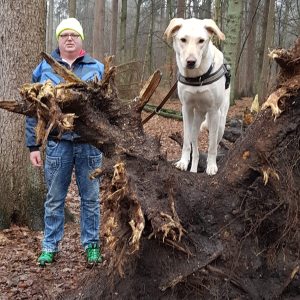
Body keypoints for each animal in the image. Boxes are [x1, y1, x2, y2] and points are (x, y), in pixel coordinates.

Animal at [164, 17, 230, 175]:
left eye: (201, 41)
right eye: (183, 39)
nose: (191, 62)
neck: (197, 76)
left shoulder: (214, 112)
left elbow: (211, 145)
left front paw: (211, 166)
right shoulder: (186, 109)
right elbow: (186, 143)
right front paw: (183, 162)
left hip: (220, 123)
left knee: (216, 142)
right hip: (195, 124)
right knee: (196, 150)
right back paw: (193, 169)